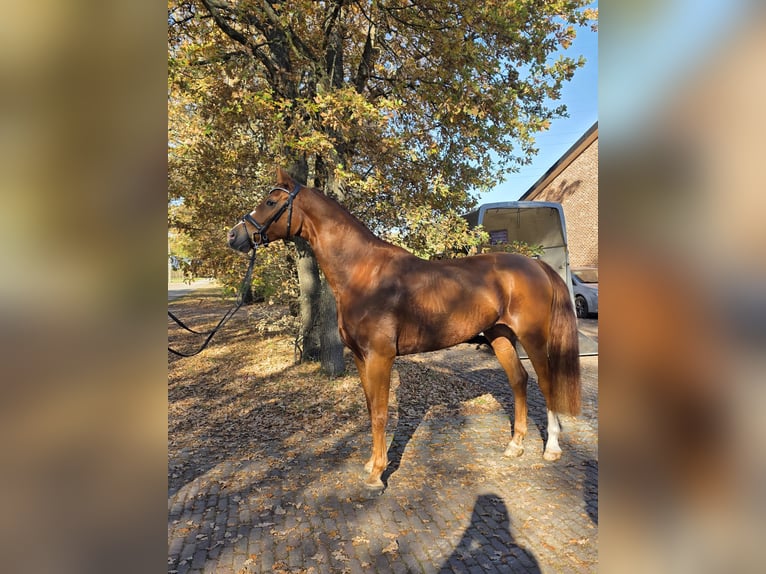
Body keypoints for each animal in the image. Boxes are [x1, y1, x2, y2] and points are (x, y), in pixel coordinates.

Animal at [228, 168, 581, 489]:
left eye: (271, 201)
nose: (234, 236)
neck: (363, 273)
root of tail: (535, 264)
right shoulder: (361, 357)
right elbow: (371, 408)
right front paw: (371, 463)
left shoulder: (380, 357)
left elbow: (382, 413)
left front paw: (377, 475)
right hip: (500, 335)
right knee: (518, 381)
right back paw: (515, 445)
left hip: (533, 337)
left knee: (546, 383)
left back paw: (551, 448)